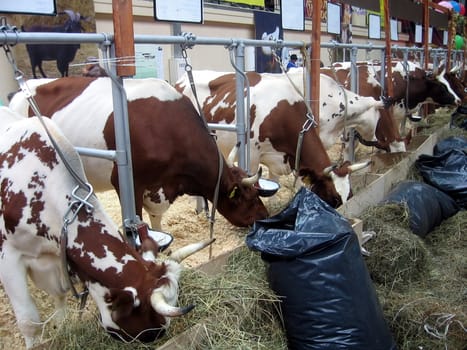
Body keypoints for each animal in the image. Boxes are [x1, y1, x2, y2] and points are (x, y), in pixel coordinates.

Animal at [0, 108, 215, 348]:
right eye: (150, 320)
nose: (157, 336)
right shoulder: (8, 257)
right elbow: (29, 321)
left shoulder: (58, 257)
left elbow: (59, 296)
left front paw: (61, 325)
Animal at [9, 76, 268, 230]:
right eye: (249, 198)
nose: (265, 216)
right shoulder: (127, 182)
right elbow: (135, 221)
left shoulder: (159, 187)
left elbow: (156, 216)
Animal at [176, 71, 380, 208]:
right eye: (334, 198)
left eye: (350, 195)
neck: (283, 113)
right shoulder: (252, 156)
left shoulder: (285, 157)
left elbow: (277, 182)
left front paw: (275, 205)